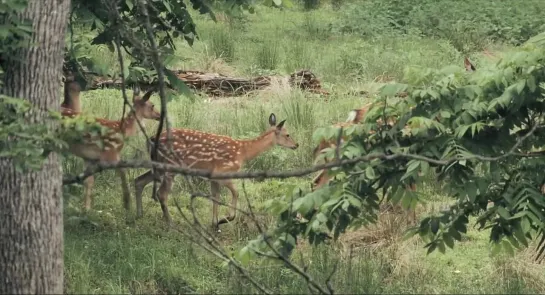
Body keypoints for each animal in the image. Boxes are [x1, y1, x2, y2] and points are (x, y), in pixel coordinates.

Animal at [134, 113, 300, 231]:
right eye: (287, 134)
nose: (296, 145)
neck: (242, 152)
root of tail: (151, 138)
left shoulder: (211, 176)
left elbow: (215, 197)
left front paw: (215, 224)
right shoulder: (222, 172)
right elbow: (235, 193)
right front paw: (226, 219)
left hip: (159, 166)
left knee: (138, 180)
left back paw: (138, 215)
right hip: (170, 165)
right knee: (161, 193)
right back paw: (170, 224)